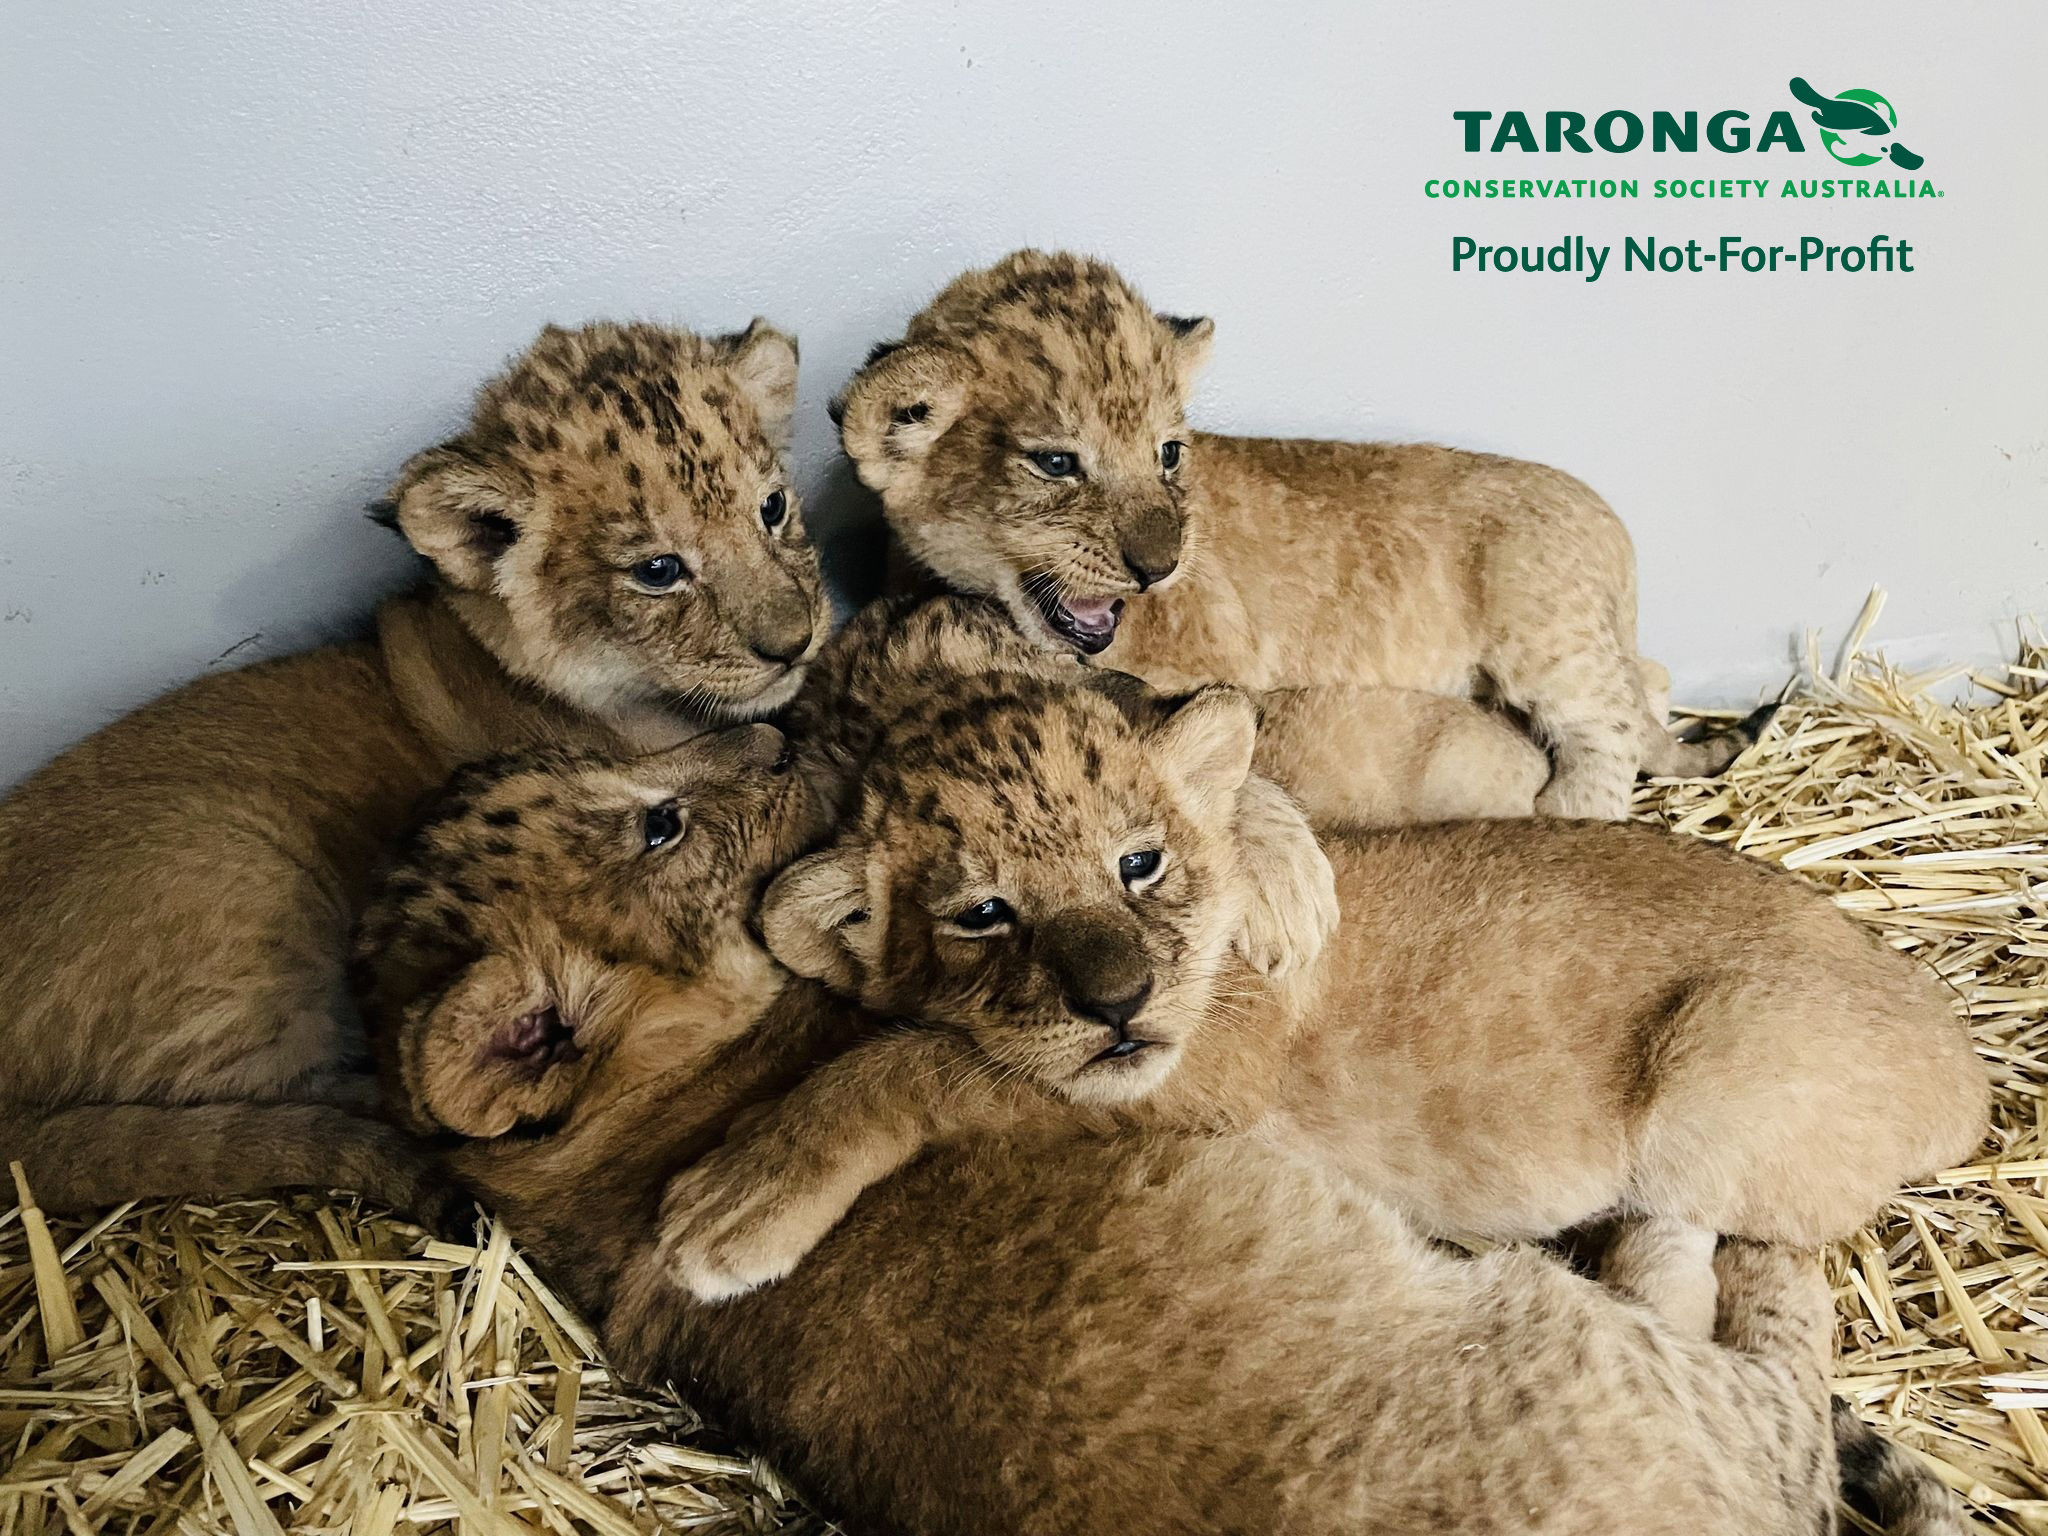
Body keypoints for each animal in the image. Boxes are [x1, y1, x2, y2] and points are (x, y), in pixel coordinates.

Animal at [833, 247, 1772, 823]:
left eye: (1168, 453)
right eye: (1057, 463)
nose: (1159, 566)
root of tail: (1615, 525)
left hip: (1547, 630)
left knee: (1611, 728)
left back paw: (1563, 817)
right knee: (1649, 682)